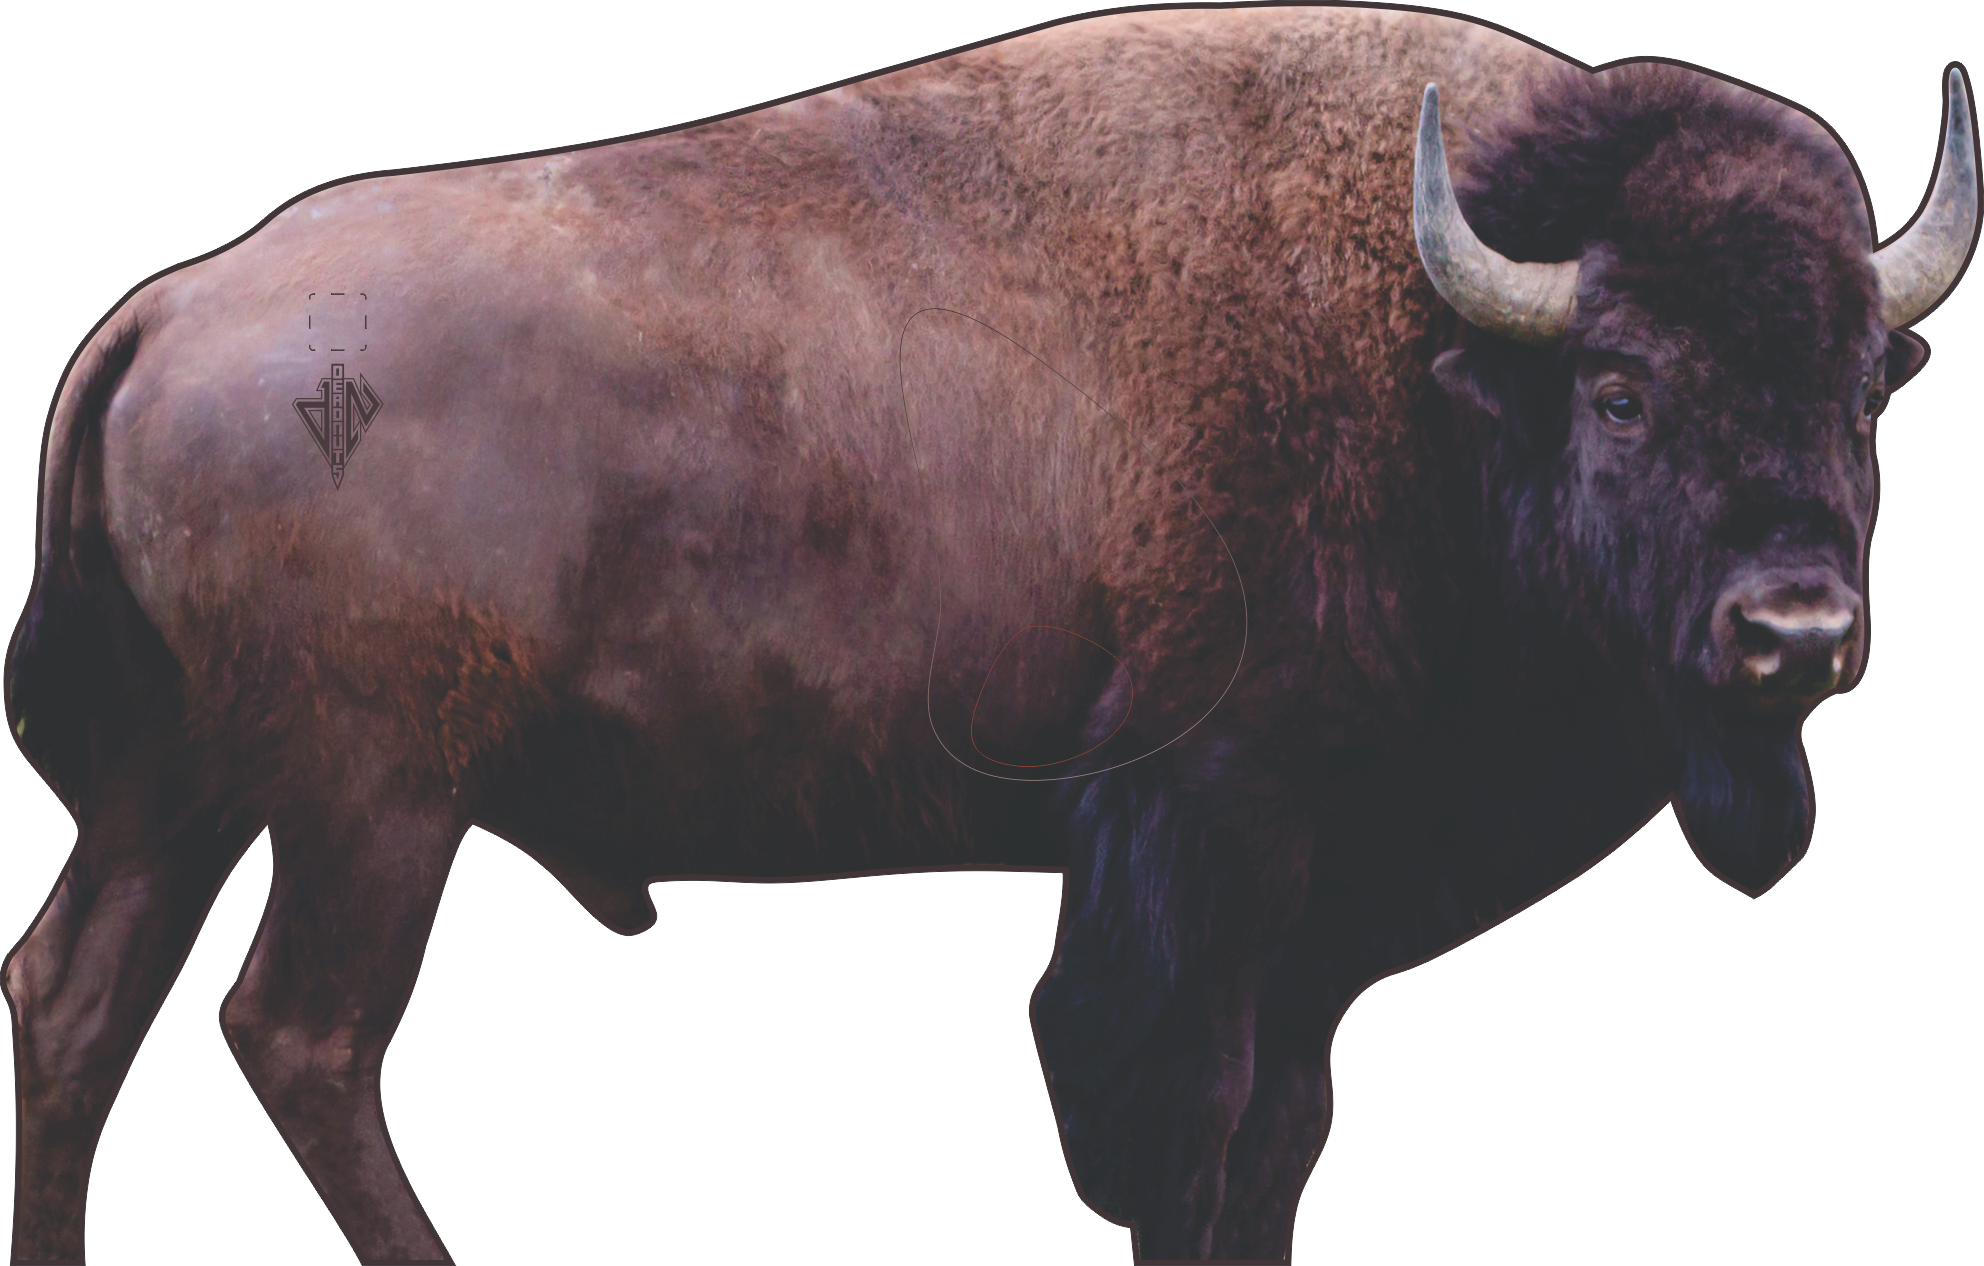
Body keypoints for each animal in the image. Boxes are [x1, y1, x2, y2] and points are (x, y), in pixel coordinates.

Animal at [3, 4, 1980, 1265]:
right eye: (1623, 388)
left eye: (1863, 389)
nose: (1793, 629)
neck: (1431, 367)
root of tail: (168, 309)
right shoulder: (1202, 860)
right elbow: (1183, 1135)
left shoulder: (1312, 928)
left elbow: (1278, 1144)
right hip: (373, 801)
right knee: (300, 1031)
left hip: (188, 790)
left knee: (78, 996)